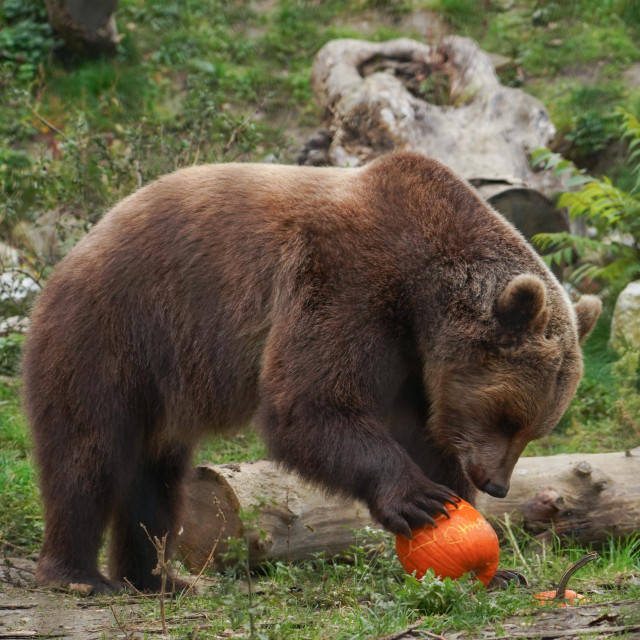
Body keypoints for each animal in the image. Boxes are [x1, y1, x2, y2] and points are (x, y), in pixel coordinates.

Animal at [20, 152, 600, 592]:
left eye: (535, 429)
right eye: (508, 417)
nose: (497, 484)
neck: (419, 286)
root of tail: (71, 255)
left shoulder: (413, 361)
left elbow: (425, 436)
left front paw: (489, 558)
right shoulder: (344, 276)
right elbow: (309, 402)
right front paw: (419, 499)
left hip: (161, 380)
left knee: (156, 479)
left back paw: (158, 577)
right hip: (114, 333)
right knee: (88, 454)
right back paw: (78, 575)